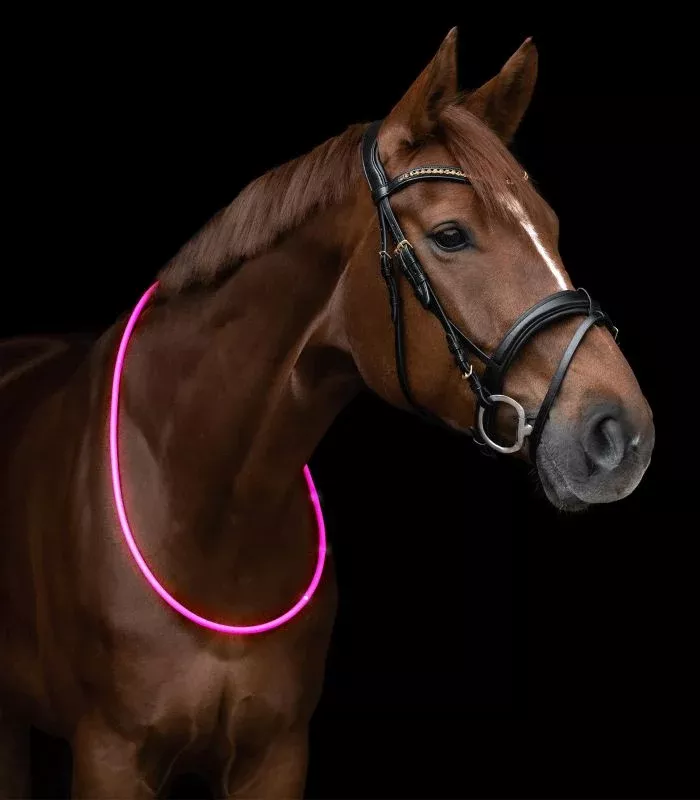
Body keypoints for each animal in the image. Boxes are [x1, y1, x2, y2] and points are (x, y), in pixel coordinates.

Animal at [0, 28, 654, 798]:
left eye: (550, 226)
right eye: (452, 235)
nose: (622, 434)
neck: (206, 517)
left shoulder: (277, 755)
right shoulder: (110, 755)